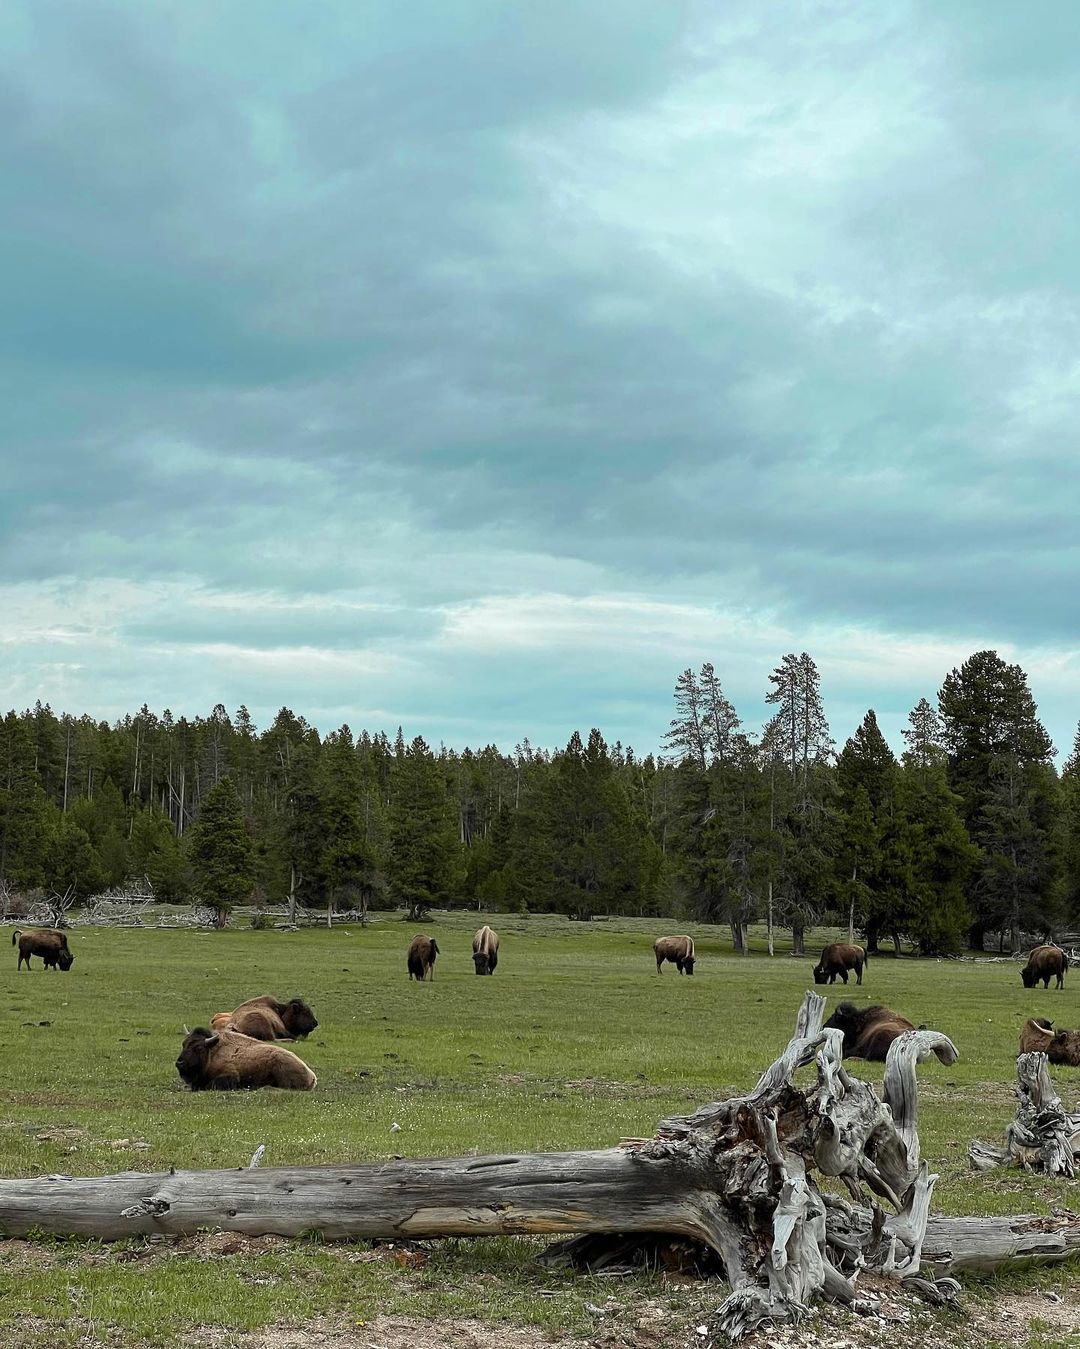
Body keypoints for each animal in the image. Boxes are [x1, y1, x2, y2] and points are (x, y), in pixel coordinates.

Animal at [173, 1025, 315, 1089]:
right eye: (184, 1044)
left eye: (198, 1048)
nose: (179, 1063)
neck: (213, 1051)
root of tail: (311, 1075)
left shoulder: (230, 1075)